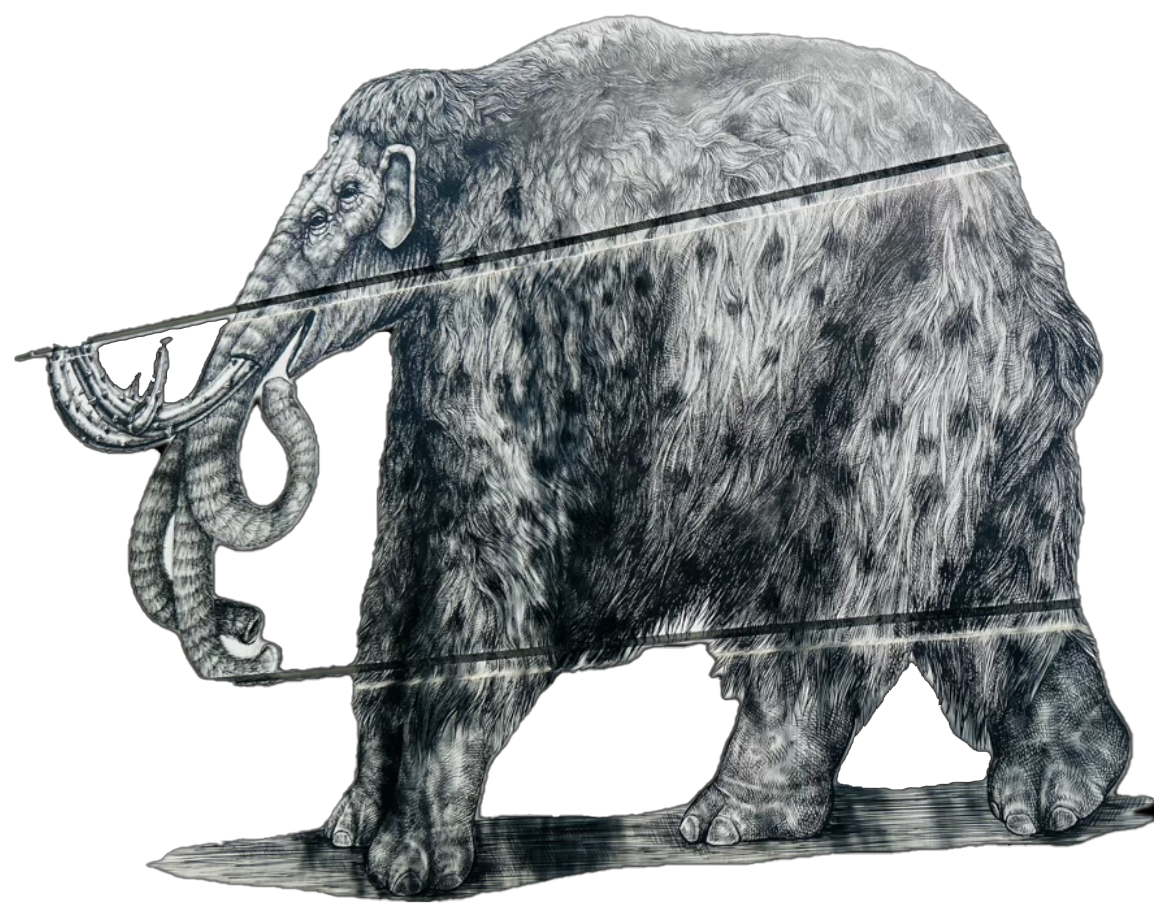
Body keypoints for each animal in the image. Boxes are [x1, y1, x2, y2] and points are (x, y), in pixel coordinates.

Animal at [46, 17, 1130, 896]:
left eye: (324, 215)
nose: (255, 633)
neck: (475, 110)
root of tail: (1029, 240)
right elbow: (402, 550)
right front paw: (354, 830)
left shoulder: (519, 302)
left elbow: (492, 559)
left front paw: (408, 865)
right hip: (992, 399)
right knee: (1001, 570)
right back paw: (1059, 793)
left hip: (913, 367)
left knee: (844, 574)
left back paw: (730, 821)